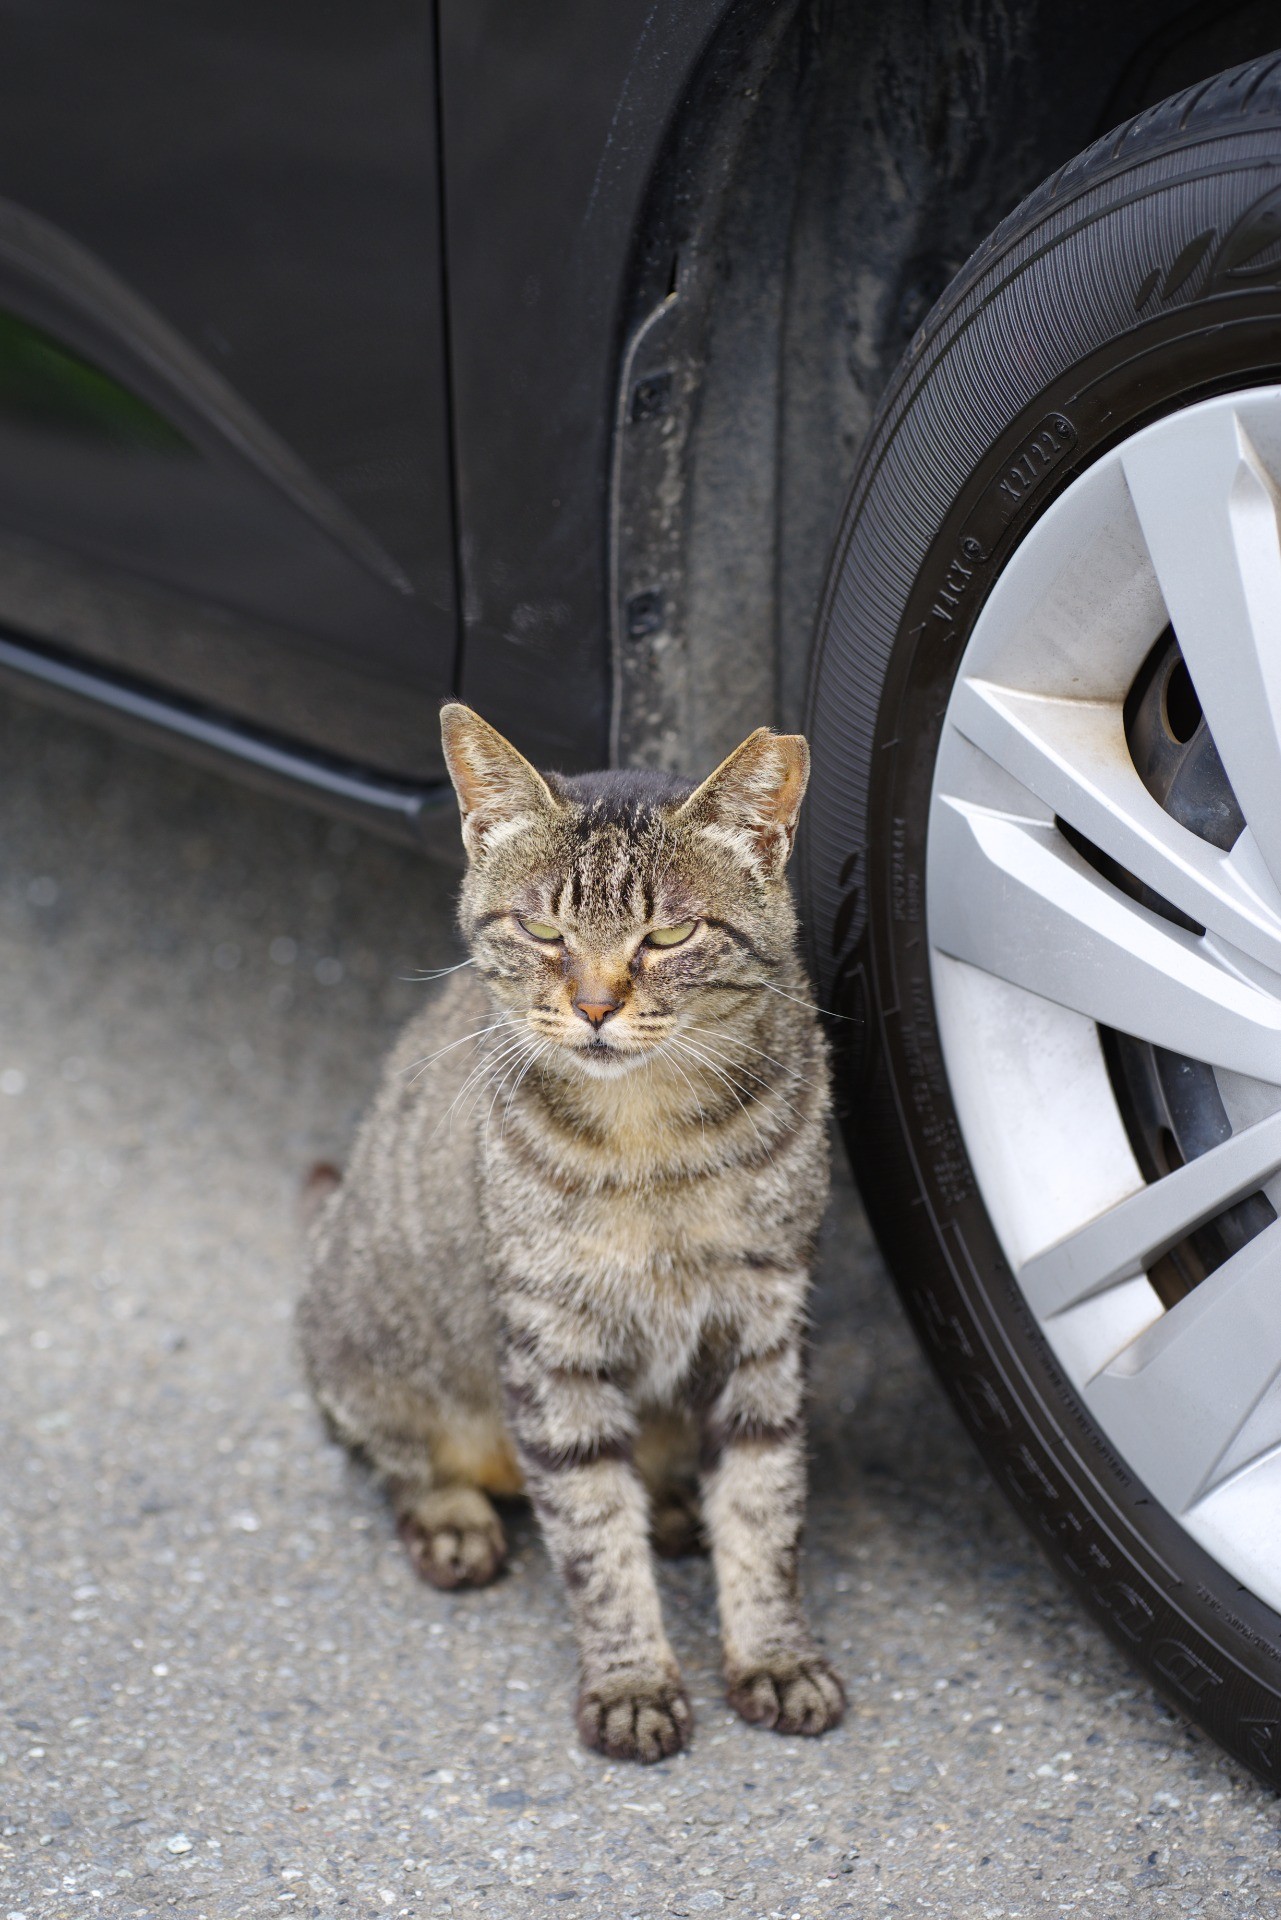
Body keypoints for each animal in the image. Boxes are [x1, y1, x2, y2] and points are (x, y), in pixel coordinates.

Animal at [297, 702, 841, 1758]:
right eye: (543, 928)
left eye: (668, 932)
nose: (592, 1006)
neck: (653, 1142)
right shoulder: (552, 1346)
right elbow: (593, 1535)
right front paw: (632, 1679)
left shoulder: (766, 1325)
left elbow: (764, 1507)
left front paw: (772, 1655)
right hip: (368, 1343)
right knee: (387, 1450)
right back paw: (453, 1518)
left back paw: (672, 1508)